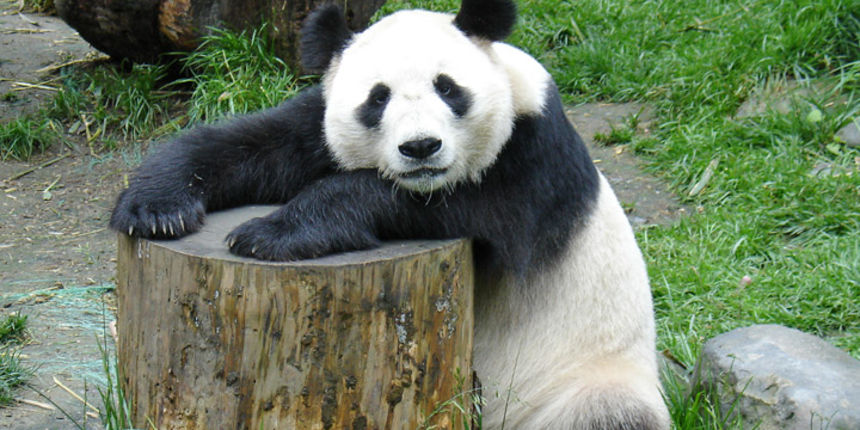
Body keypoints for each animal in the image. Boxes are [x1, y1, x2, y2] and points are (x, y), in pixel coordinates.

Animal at [109, 0, 670, 428]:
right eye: (377, 98)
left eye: (448, 87)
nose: (421, 147)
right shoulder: (319, 121)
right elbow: (254, 145)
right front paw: (155, 206)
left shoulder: (532, 159)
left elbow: (462, 208)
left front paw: (271, 231)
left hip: (585, 379)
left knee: (608, 414)